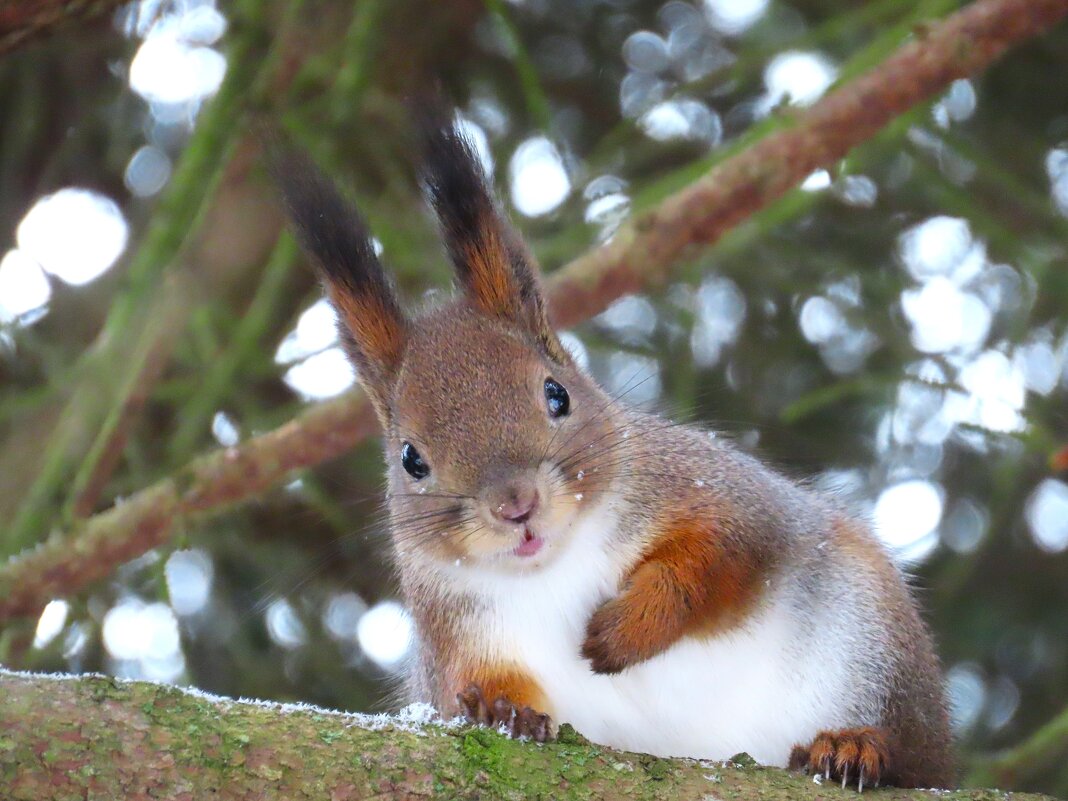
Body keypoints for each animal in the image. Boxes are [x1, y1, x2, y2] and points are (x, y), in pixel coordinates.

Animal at [271, 110, 956, 794]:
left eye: (557, 395)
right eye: (411, 459)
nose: (515, 506)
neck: (557, 564)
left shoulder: (719, 494)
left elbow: (720, 558)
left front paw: (625, 631)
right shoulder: (453, 636)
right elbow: (471, 686)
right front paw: (498, 709)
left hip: (871, 642)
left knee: (911, 753)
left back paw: (853, 746)